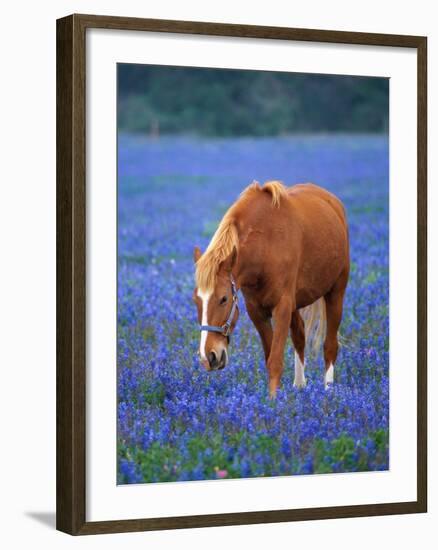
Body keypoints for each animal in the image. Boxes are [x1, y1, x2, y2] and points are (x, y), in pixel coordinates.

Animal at [192, 183, 350, 398]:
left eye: (223, 299)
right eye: (196, 300)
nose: (208, 357)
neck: (265, 246)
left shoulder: (282, 307)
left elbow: (275, 361)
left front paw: (273, 401)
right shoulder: (256, 310)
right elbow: (269, 357)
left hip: (336, 293)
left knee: (330, 346)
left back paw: (329, 392)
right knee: (300, 335)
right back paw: (300, 386)